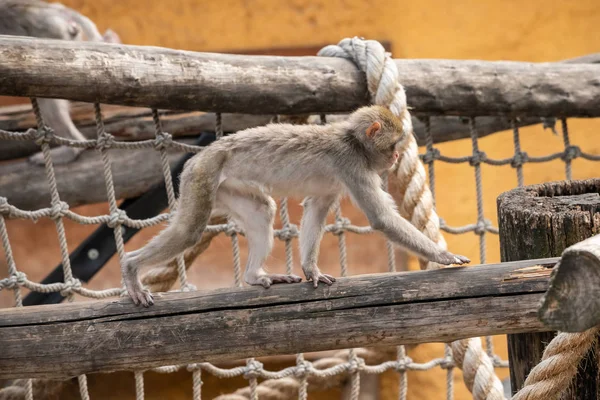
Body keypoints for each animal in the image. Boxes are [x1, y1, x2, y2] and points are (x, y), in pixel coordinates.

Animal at [123, 105, 468, 306]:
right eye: (395, 145)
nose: (396, 157)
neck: (354, 143)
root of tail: (200, 156)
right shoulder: (353, 167)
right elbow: (381, 218)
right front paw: (444, 255)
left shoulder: (338, 180)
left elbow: (316, 209)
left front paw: (311, 269)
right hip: (202, 176)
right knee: (189, 230)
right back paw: (130, 268)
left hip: (225, 185)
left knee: (262, 209)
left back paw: (253, 275)